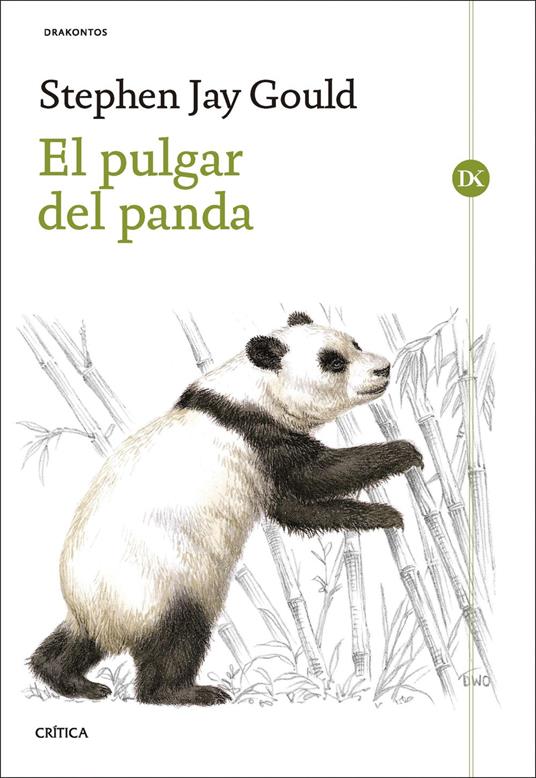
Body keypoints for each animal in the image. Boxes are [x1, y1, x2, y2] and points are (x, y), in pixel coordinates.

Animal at [29, 311, 423, 706]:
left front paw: (383, 512)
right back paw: (185, 692)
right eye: (333, 362)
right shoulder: (258, 435)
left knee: (77, 641)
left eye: (355, 343)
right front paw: (403, 460)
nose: (384, 368)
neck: (247, 392)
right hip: (161, 582)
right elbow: (317, 475)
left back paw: (70, 679)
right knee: (180, 635)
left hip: (99, 605)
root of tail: (106, 623)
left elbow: (294, 509)